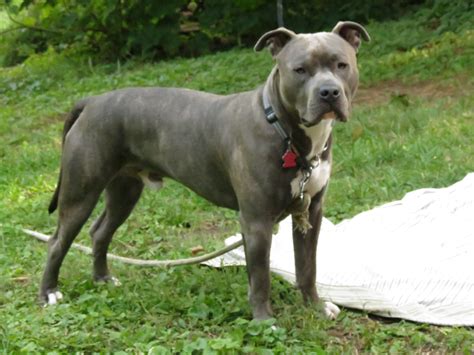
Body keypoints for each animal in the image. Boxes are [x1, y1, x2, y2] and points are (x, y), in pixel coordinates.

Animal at [40, 20, 370, 322]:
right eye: (300, 70)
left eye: (341, 64)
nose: (329, 92)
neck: (282, 128)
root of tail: (92, 101)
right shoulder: (256, 221)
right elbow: (260, 277)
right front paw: (265, 322)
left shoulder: (310, 211)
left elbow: (307, 267)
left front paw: (315, 307)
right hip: (80, 192)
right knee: (58, 241)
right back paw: (49, 294)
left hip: (124, 191)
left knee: (100, 232)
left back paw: (103, 279)